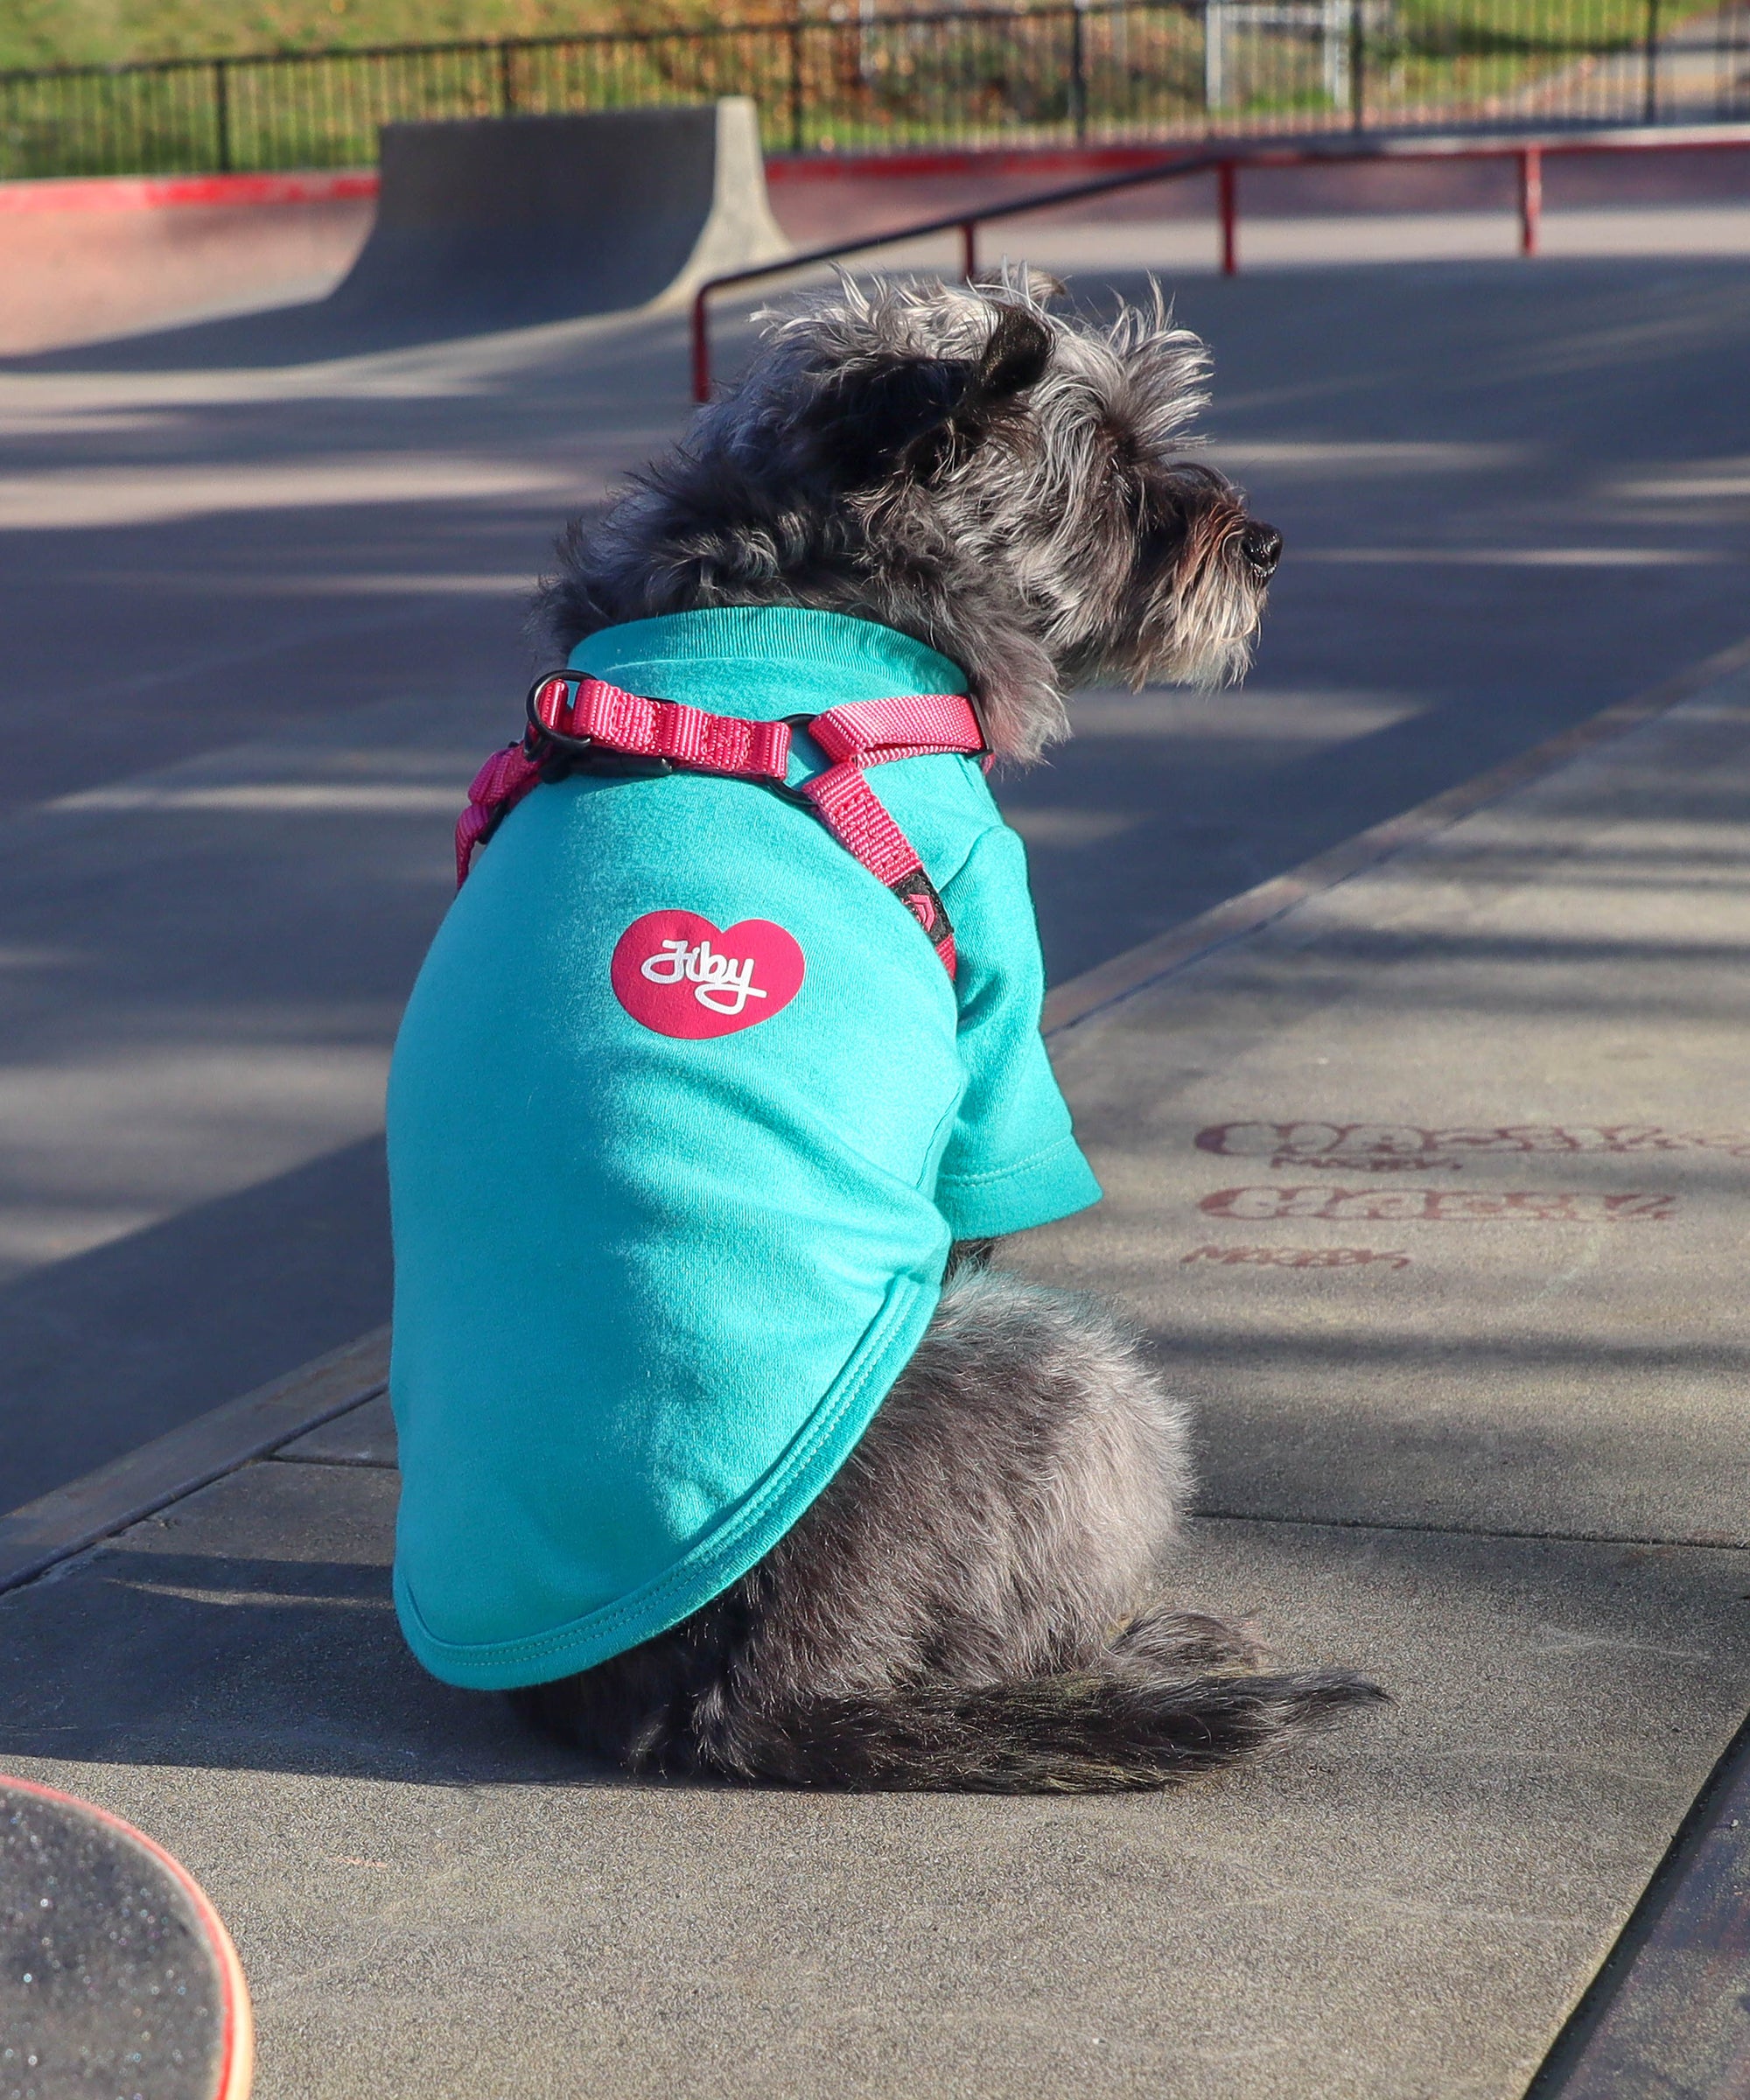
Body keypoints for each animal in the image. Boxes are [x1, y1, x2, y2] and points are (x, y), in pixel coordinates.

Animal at [485, 275, 1386, 1788]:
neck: (792, 593)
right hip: (1075, 1376)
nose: (1267, 545)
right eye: (1116, 468)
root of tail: (756, 1689)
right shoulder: (991, 1010)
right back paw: (1140, 1645)